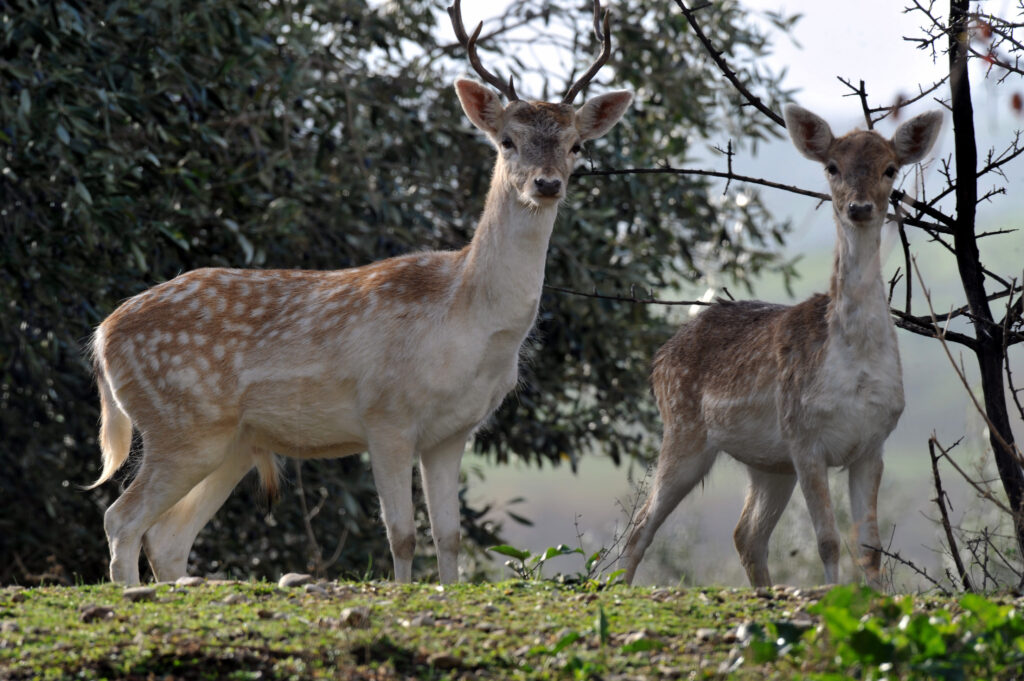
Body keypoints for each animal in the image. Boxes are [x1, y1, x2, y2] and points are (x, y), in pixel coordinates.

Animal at [88, 0, 630, 585]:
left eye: (576, 145)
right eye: (507, 141)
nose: (546, 184)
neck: (466, 320)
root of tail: (102, 336)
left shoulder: (452, 433)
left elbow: (451, 536)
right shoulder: (385, 413)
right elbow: (402, 534)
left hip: (231, 443)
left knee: (166, 536)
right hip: (182, 423)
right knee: (121, 519)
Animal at [618, 103, 937, 585]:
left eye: (890, 168)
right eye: (832, 166)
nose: (859, 207)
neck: (853, 369)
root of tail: (659, 357)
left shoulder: (872, 443)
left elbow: (870, 547)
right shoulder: (804, 436)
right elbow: (828, 541)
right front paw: (832, 594)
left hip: (768, 464)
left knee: (746, 534)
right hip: (683, 428)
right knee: (640, 525)